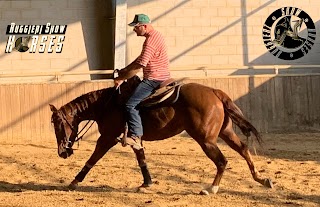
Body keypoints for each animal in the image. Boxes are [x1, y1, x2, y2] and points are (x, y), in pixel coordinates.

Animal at [50, 77, 272, 195]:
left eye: (58, 125)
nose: (62, 152)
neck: (107, 105)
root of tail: (214, 91)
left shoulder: (107, 138)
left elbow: (92, 159)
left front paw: (74, 181)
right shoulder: (134, 139)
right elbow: (141, 159)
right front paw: (146, 183)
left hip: (206, 140)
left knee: (222, 161)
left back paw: (211, 189)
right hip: (225, 133)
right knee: (243, 149)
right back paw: (262, 179)